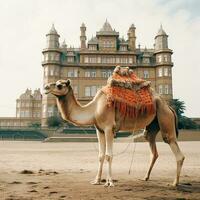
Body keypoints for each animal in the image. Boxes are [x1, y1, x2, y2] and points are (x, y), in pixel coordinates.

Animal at [44, 71, 185, 187]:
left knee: (174, 147)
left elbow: (109, 155)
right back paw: (145, 177)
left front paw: (110, 182)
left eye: (59, 85)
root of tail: (170, 108)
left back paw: (174, 183)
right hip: (152, 125)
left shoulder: (108, 128)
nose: (45, 87)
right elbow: (101, 155)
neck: (94, 109)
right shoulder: (99, 130)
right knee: (152, 147)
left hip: (165, 117)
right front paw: (97, 180)